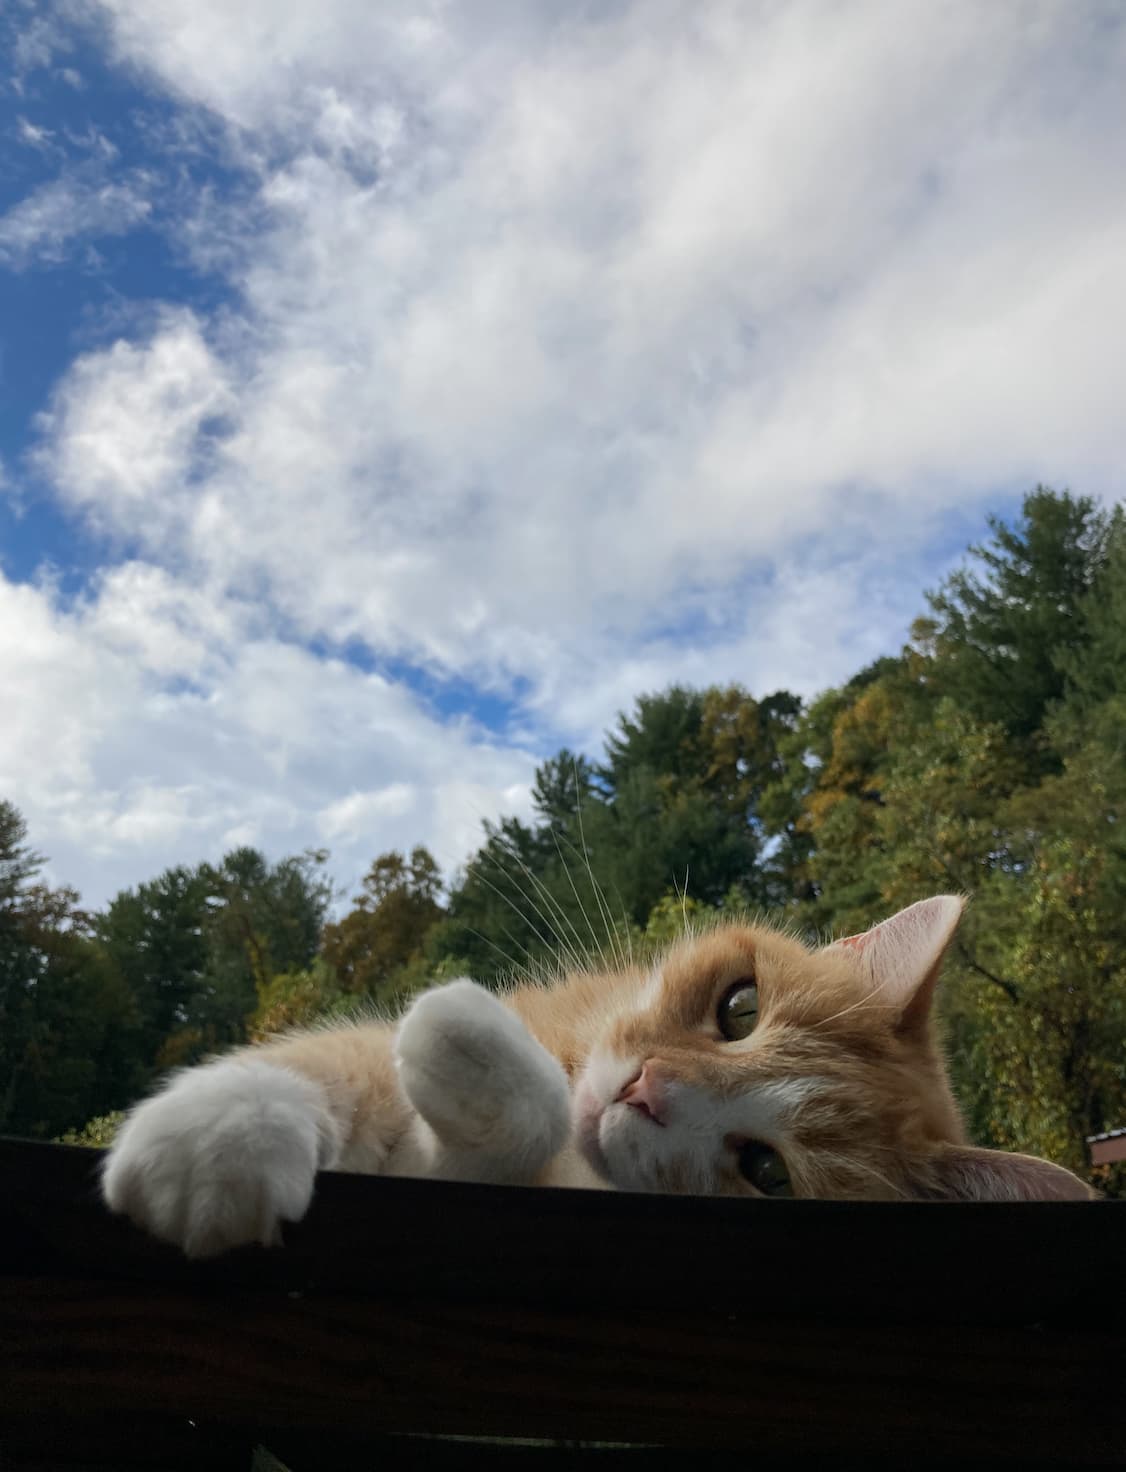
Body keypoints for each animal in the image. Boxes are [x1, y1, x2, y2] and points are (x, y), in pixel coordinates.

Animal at [103, 894, 1089, 1254]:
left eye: (767, 1172)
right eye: (740, 1009)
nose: (642, 1091)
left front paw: (469, 1052)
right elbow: (336, 1059)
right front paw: (221, 1137)